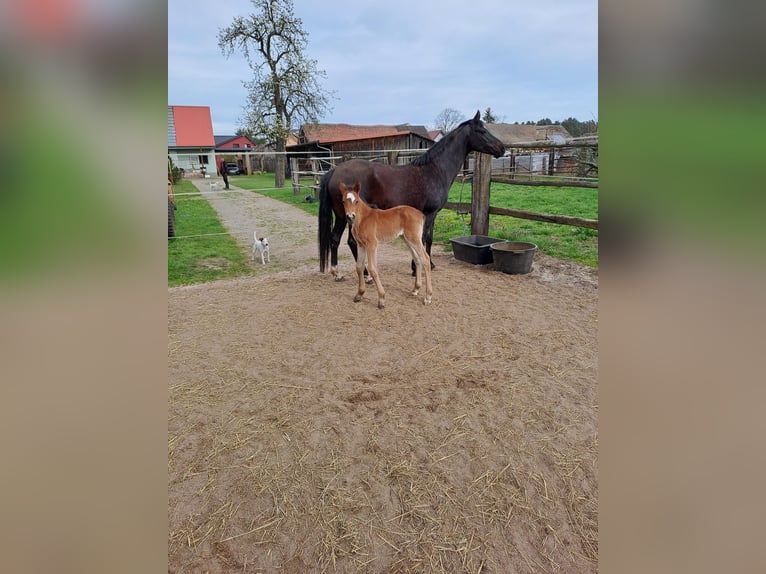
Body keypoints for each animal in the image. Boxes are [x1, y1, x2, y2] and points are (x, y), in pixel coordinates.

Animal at [320, 111, 508, 280]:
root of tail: (335, 170)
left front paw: (423, 265)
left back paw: (338, 273)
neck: (434, 170)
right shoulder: (429, 213)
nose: (502, 148)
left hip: (343, 216)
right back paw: (365, 274)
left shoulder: (430, 214)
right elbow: (424, 239)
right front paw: (421, 267)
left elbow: (426, 239)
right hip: (348, 216)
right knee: (350, 241)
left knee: (336, 239)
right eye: (481, 131)